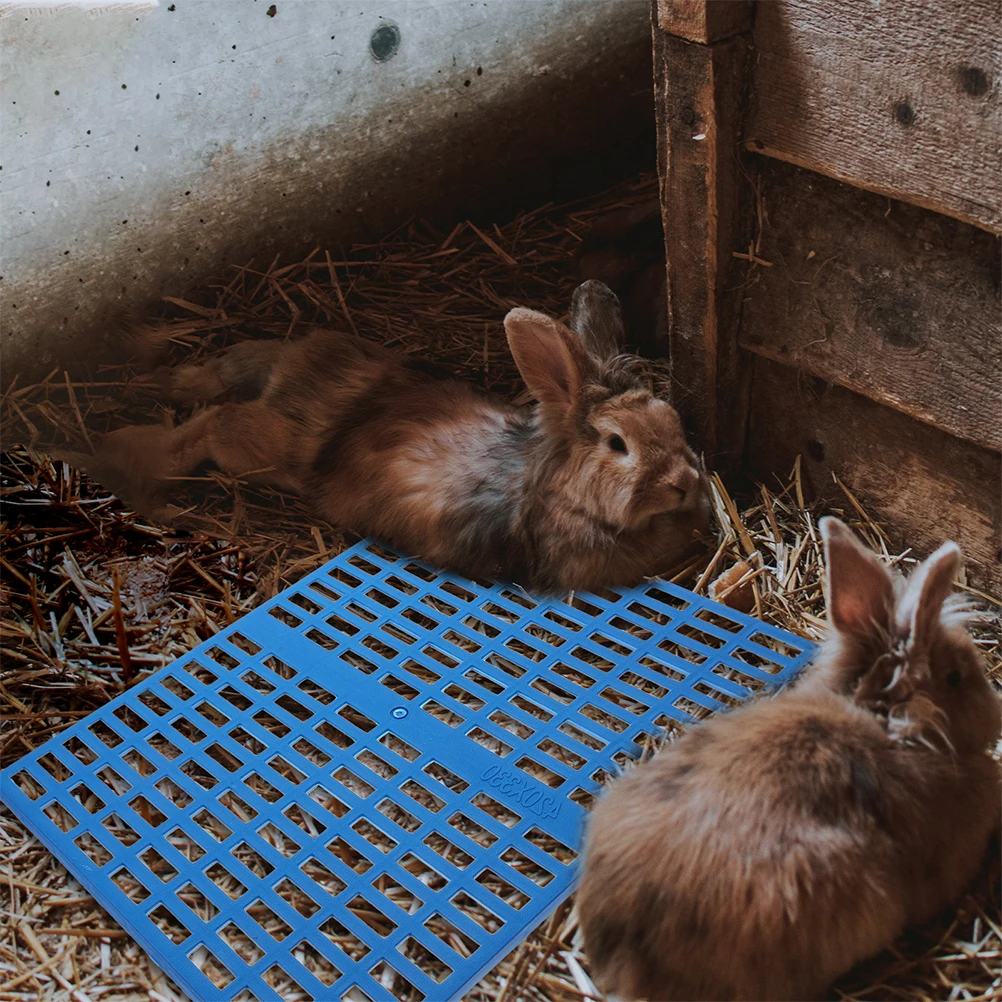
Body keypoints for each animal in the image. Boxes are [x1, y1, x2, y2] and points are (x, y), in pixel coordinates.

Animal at [85, 280, 710, 593]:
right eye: (617, 445)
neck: (562, 493)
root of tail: (296, 366)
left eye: (671, 421)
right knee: (216, 422)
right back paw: (143, 463)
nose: (684, 483)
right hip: (262, 450)